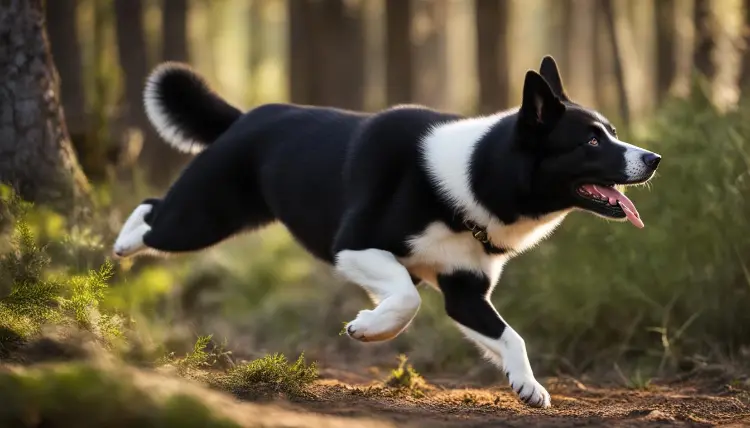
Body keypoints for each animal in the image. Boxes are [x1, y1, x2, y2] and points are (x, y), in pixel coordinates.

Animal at [113, 56, 664, 408]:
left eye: (611, 132)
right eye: (591, 141)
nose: (654, 158)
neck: (472, 176)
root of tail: (244, 117)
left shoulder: (464, 291)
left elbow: (509, 336)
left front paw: (527, 386)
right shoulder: (353, 245)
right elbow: (407, 298)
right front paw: (369, 327)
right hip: (202, 217)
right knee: (151, 212)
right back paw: (120, 243)